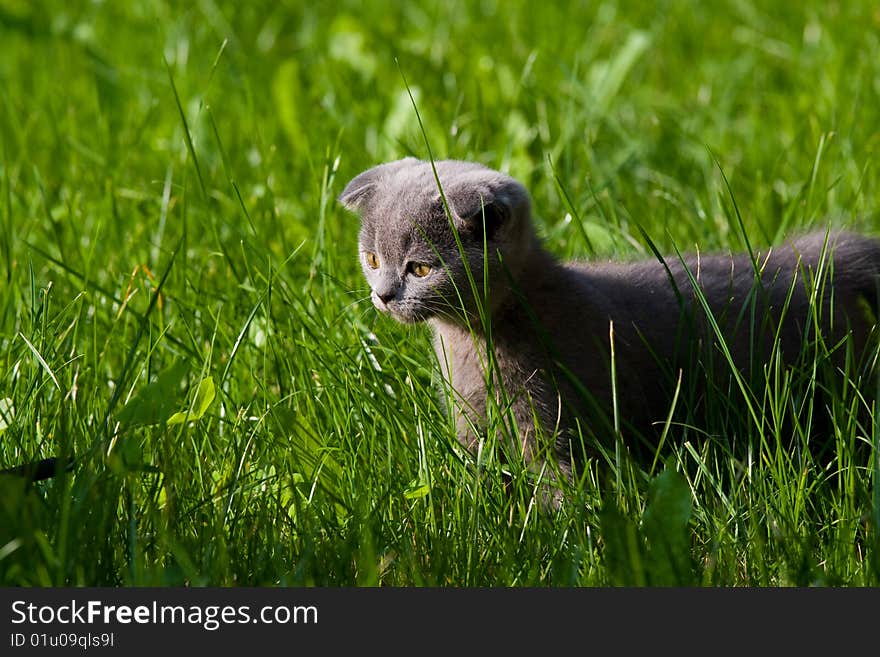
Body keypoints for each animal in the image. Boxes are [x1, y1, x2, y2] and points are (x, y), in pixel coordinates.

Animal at [338, 155, 880, 486]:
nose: (383, 295)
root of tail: (813, 255)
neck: (473, 342)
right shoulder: (471, 419)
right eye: (371, 259)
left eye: (420, 268)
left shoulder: (555, 417)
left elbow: (560, 483)